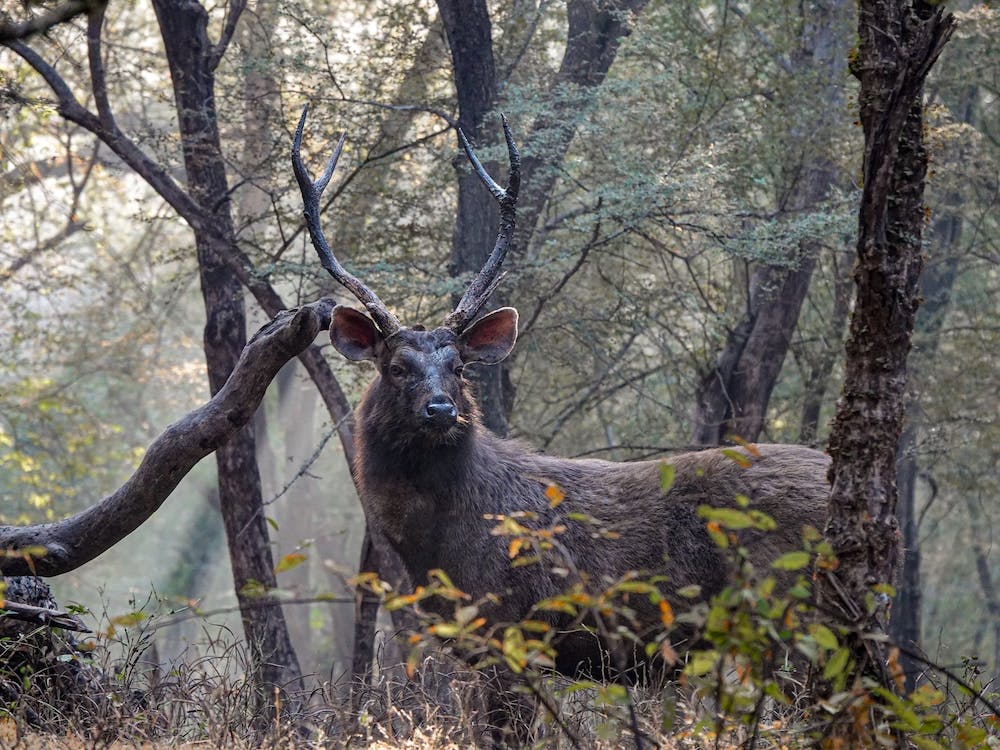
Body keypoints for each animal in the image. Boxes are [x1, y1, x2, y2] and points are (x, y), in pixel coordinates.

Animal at [292, 107, 831, 741]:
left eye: (458, 367)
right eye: (396, 366)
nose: (442, 409)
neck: (441, 537)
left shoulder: (512, 628)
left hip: (795, 614)